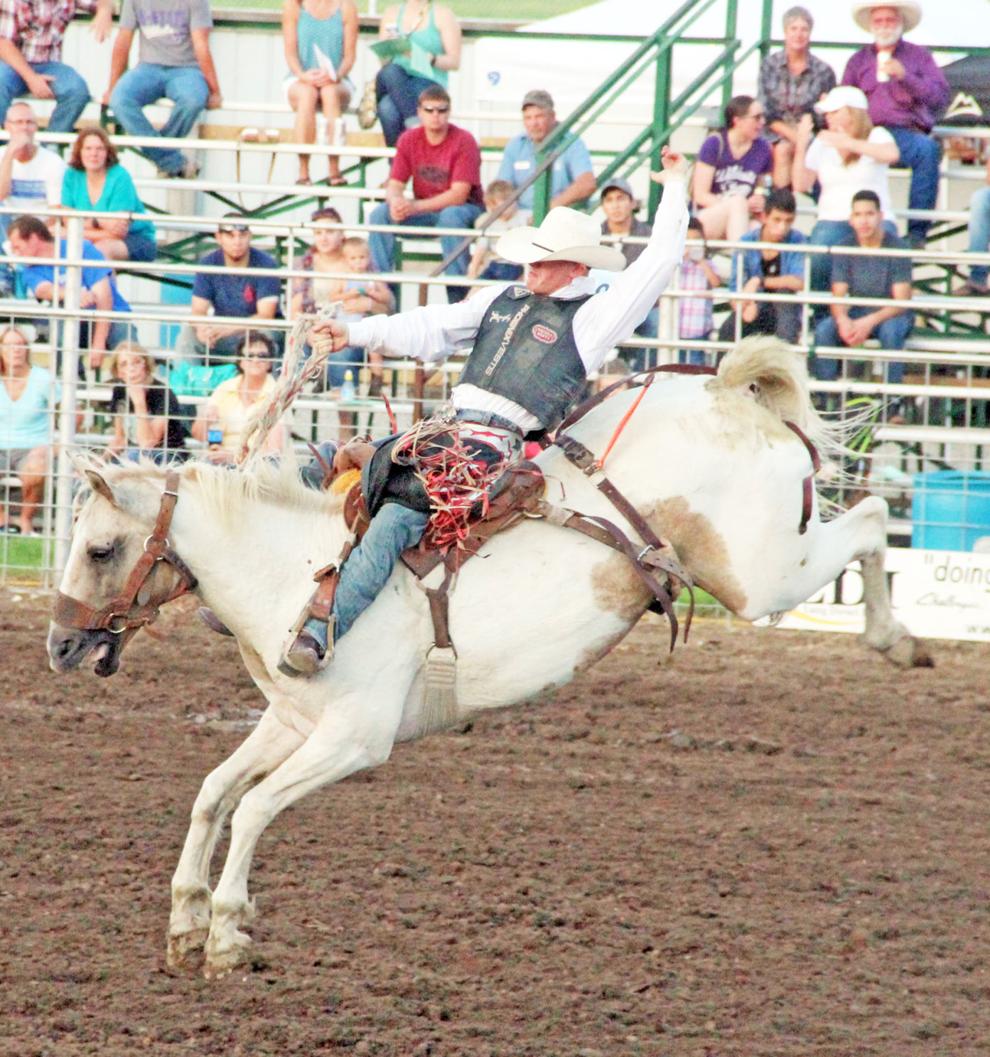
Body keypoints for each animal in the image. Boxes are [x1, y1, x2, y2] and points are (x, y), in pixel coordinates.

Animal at [46, 337, 931, 980]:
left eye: (99, 547)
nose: (59, 643)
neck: (297, 570)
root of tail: (725, 391)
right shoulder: (293, 720)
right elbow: (214, 794)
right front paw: (184, 920)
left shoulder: (354, 738)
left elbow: (257, 805)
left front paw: (228, 934)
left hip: (759, 572)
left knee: (872, 518)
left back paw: (900, 641)